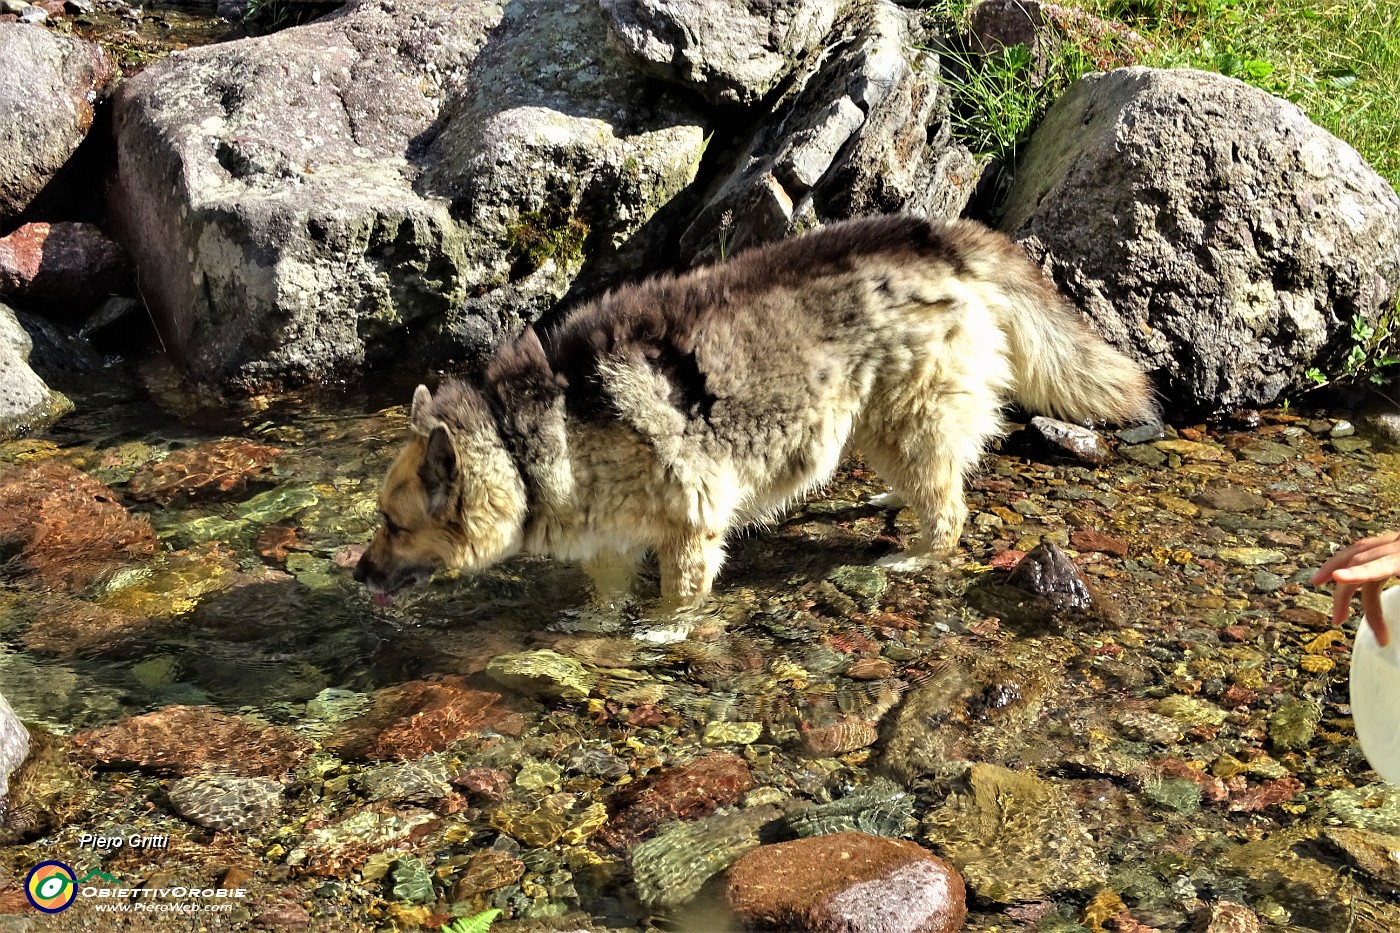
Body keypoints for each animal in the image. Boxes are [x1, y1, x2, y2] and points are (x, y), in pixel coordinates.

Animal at [355, 215, 1153, 613]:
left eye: (394, 524)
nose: (358, 572)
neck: (530, 438)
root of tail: (940, 236)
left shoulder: (688, 524)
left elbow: (678, 599)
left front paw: (663, 636)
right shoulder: (609, 534)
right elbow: (605, 592)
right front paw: (598, 627)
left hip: (910, 414)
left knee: (950, 508)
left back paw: (915, 553)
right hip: (879, 423)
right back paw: (891, 501)